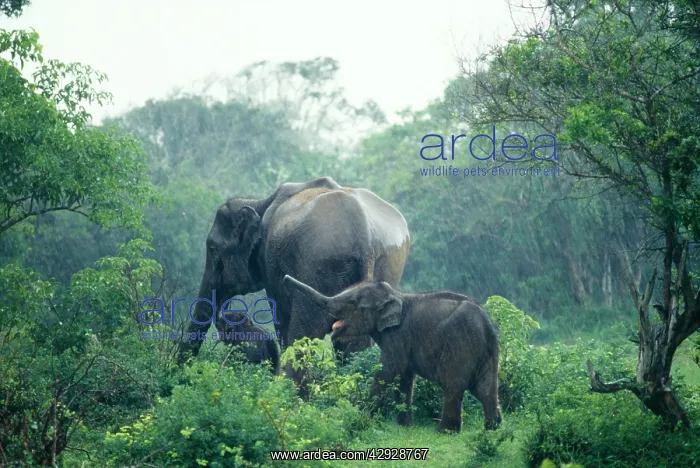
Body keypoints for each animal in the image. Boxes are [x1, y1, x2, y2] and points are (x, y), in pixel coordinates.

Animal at [177, 176, 411, 385]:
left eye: (212, 249)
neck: (258, 202)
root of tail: (365, 237)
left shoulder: (270, 266)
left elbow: (281, 318)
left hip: (319, 267)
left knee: (304, 335)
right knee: (352, 342)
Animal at [282, 274, 503, 432]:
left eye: (353, 303)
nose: (284, 278)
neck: (396, 295)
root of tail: (486, 322)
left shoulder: (396, 336)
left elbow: (387, 373)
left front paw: (360, 416)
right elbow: (404, 377)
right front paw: (405, 426)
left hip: (460, 345)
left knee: (453, 386)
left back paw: (444, 431)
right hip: (488, 350)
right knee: (486, 388)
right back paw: (493, 428)